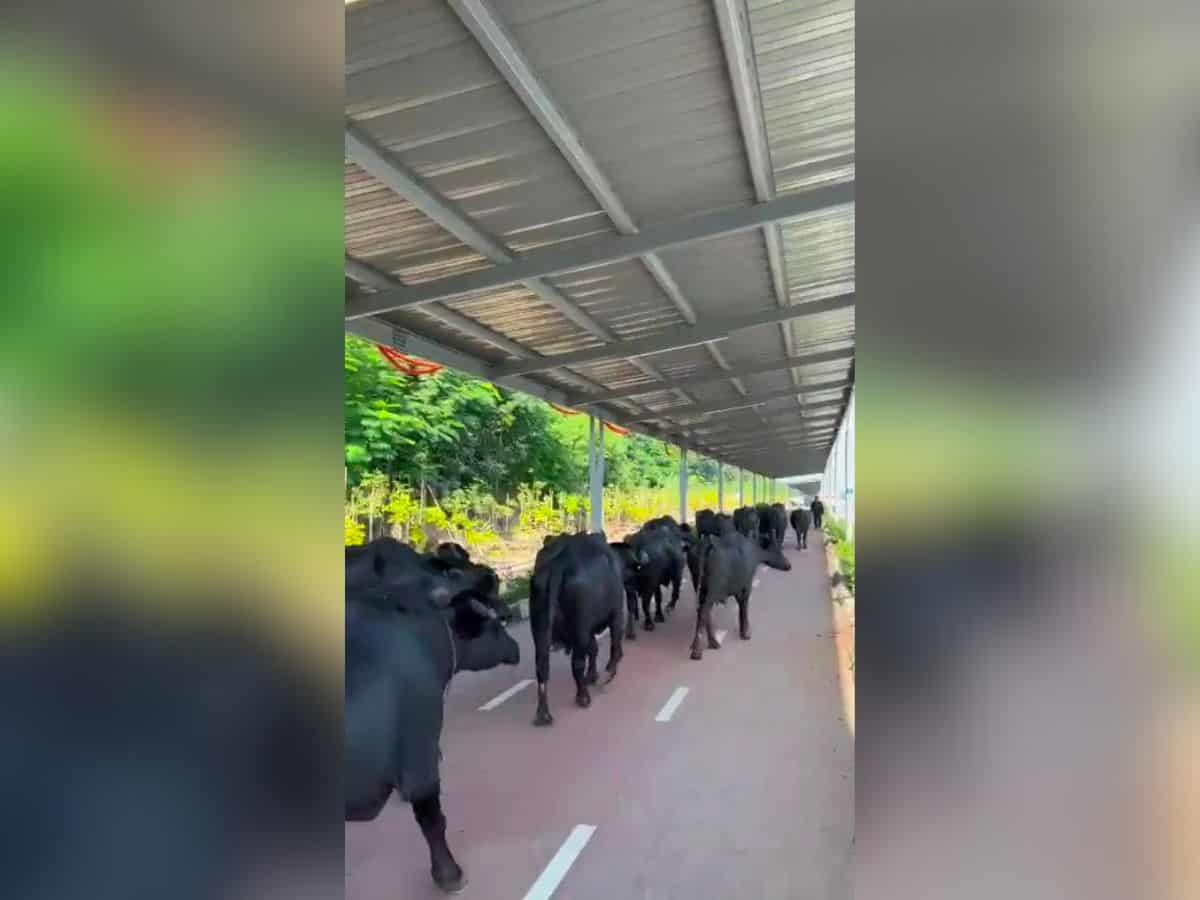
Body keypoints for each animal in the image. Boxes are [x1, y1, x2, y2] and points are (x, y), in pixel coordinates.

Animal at [532, 535, 628, 724]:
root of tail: (560, 561)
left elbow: (594, 649)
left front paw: (592, 675)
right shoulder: (615, 612)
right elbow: (613, 643)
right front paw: (608, 672)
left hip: (540, 629)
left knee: (542, 666)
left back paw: (543, 714)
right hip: (580, 628)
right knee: (577, 663)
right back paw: (583, 696)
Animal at [691, 528, 792, 662]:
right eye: (777, 550)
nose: (788, 565)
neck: (754, 551)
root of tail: (706, 544)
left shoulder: (737, 589)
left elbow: (741, 606)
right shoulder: (746, 585)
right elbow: (744, 607)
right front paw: (746, 633)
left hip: (700, 588)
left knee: (702, 612)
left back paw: (710, 643)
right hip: (712, 590)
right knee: (704, 612)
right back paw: (699, 650)